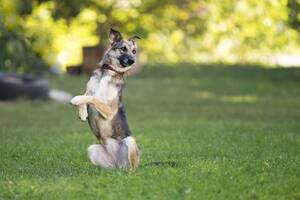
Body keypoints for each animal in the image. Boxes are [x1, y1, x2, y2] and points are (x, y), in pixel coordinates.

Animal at [70, 28, 141, 169]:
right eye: (123, 49)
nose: (133, 61)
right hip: (92, 149)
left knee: (131, 169)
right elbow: (87, 95)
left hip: (130, 141)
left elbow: (93, 98)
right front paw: (82, 113)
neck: (108, 72)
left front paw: (75, 100)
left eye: (134, 51)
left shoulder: (108, 109)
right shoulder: (89, 89)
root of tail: (118, 163)